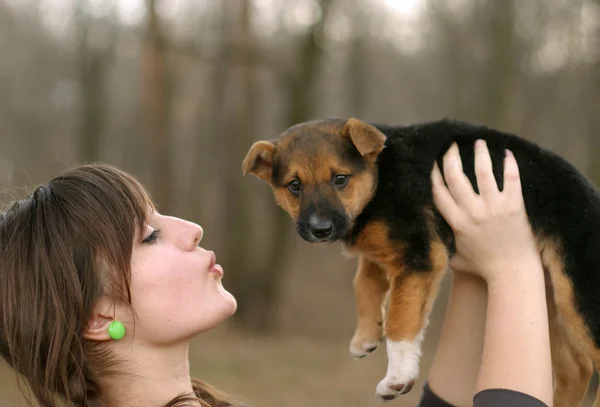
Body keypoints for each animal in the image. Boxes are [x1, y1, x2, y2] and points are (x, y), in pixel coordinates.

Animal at [241, 116, 600, 406]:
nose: (320, 230)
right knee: (576, 367)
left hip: (577, 291)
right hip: (549, 298)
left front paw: (398, 376)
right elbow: (364, 280)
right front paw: (366, 334)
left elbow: (401, 318)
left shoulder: (419, 255)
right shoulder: (388, 253)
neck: (380, 177)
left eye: (340, 179)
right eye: (294, 186)